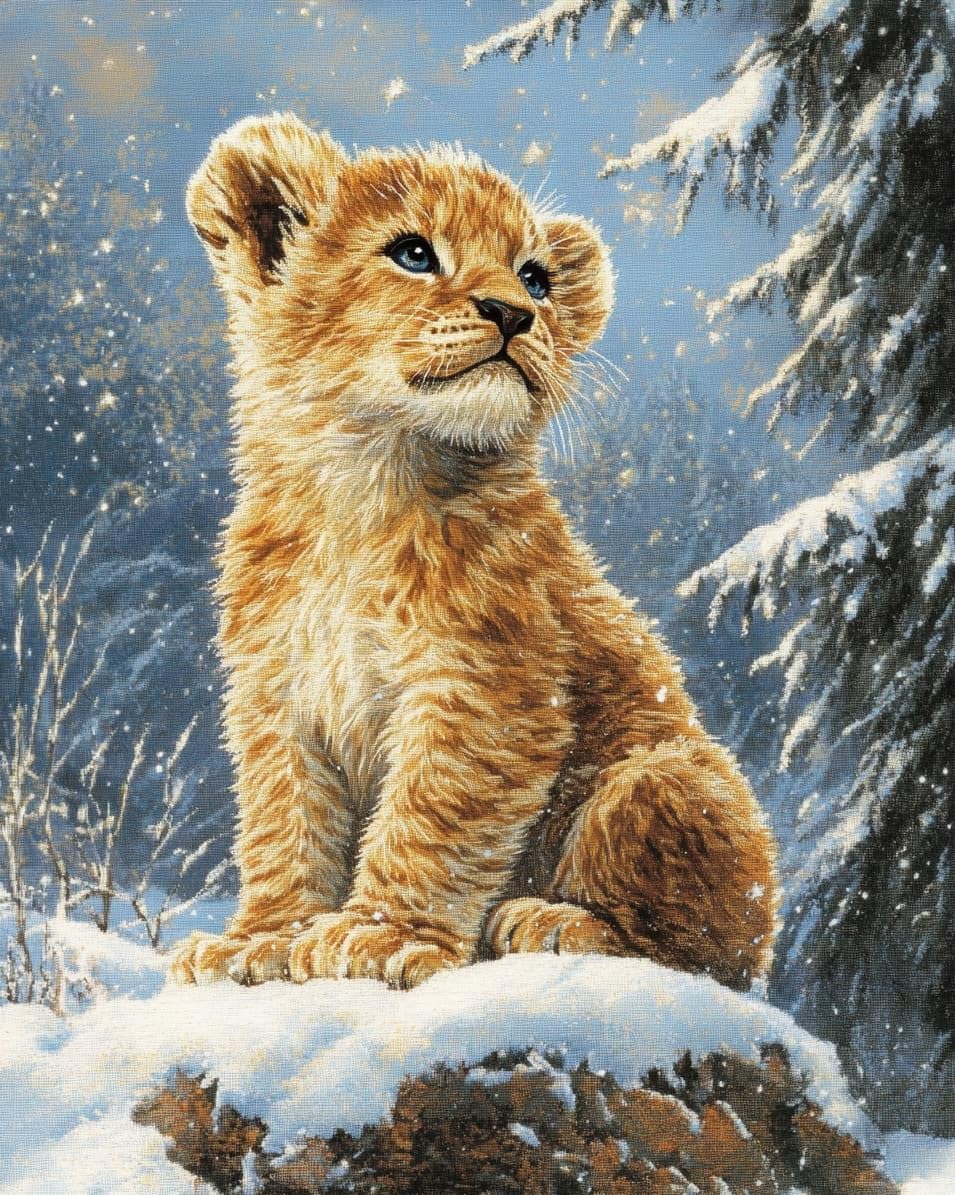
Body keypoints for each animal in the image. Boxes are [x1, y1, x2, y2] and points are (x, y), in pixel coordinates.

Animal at [170, 113, 777, 992]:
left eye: (535, 277)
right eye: (413, 252)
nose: (512, 312)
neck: (362, 489)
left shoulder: (489, 686)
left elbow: (431, 816)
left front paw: (382, 937)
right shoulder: (277, 697)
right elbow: (285, 825)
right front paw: (260, 940)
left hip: (659, 779)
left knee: (706, 952)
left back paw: (549, 922)